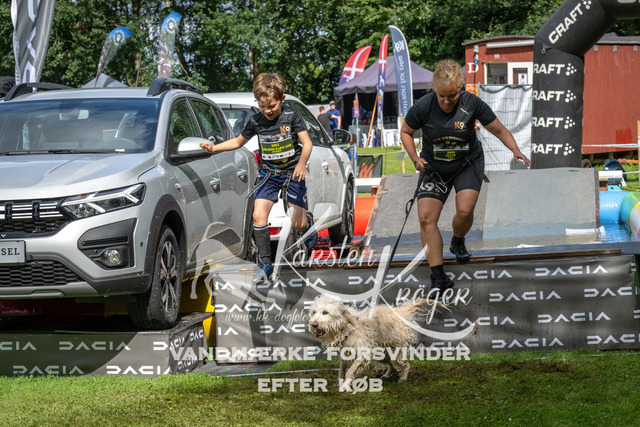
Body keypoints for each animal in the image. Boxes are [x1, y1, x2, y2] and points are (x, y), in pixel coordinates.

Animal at [308, 295, 447, 392]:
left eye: (325, 312)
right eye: (314, 312)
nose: (313, 324)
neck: (347, 329)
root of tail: (402, 312)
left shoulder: (363, 354)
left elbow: (350, 371)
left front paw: (345, 386)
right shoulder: (344, 354)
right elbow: (341, 370)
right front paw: (339, 382)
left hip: (395, 353)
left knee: (406, 364)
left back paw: (403, 378)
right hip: (382, 354)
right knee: (391, 365)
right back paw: (386, 375)